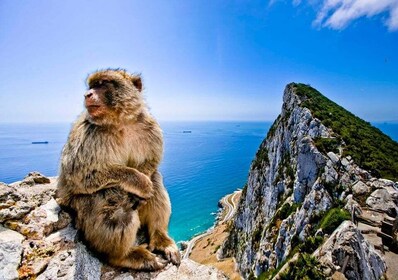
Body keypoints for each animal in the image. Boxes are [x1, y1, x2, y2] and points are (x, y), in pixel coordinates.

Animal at [56, 68, 180, 272]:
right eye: (91, 86)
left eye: (102, 84)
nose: (87, 94)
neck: (120, 122)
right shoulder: (88, 135)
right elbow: (79, 175)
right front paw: (139, 182)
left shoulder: (150, 127)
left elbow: (151, 162)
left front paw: (143, 183)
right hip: (78, 210)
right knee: (113, 200)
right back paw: (123, 256)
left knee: (156, 180)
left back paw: (160, 238)